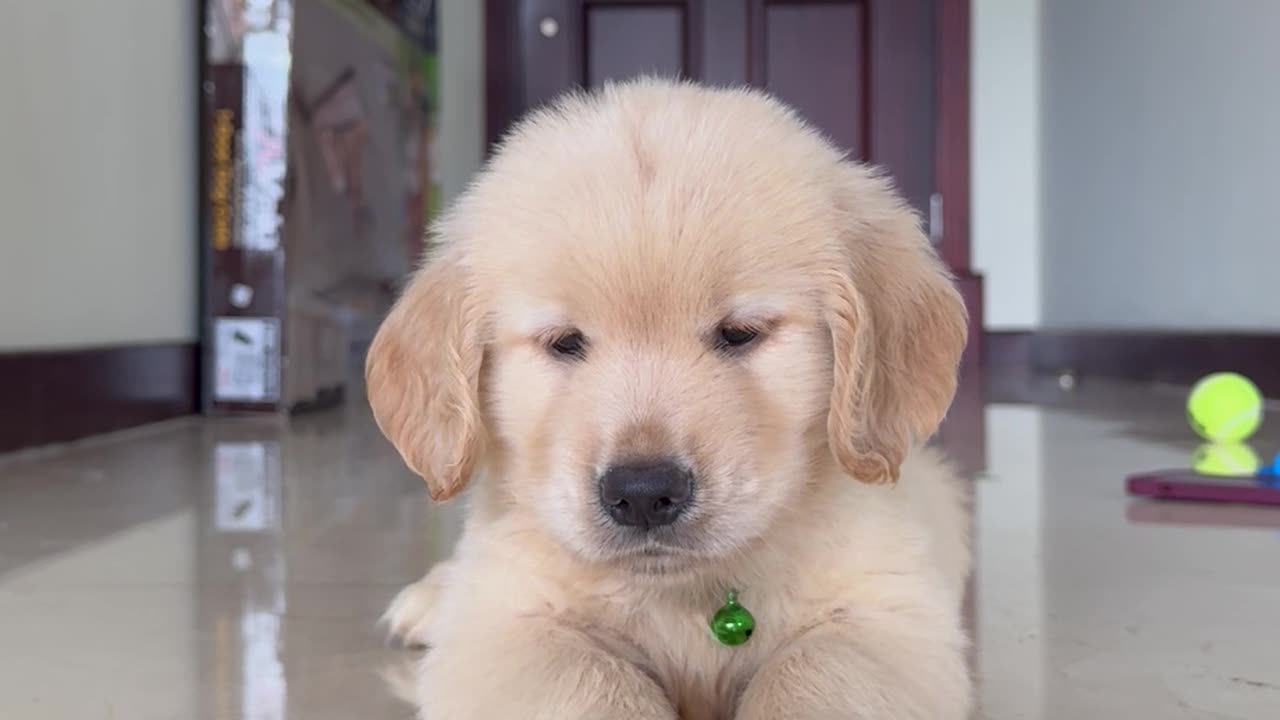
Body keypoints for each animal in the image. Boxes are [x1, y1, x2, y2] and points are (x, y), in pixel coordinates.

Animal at [371, 79, 967, 717]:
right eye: (564, 343)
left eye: (740, 333)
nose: (641, 493)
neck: (687, 595)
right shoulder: (501, 629)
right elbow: (593, 684)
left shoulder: (892, 620)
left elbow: (806, 677)